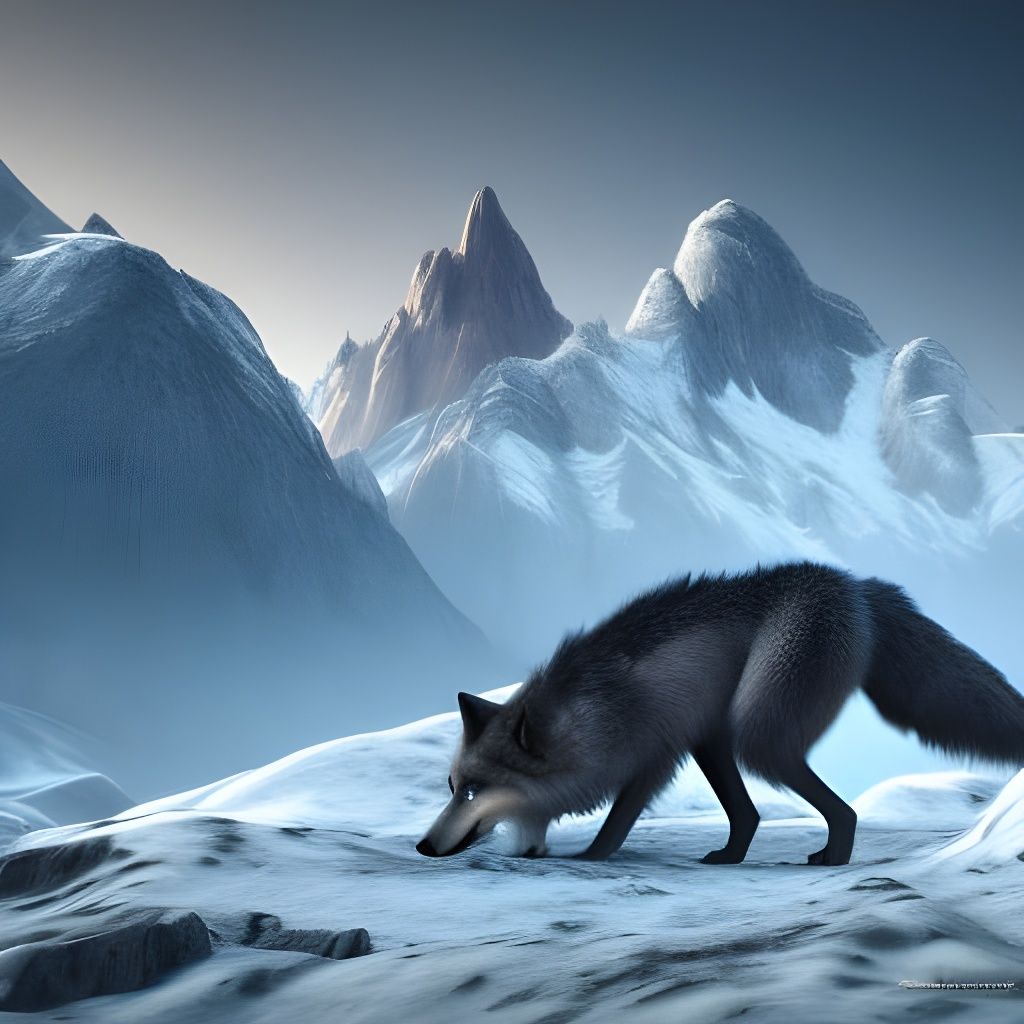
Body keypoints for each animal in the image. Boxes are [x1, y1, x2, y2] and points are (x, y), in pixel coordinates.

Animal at [416, 562, 1024, 866]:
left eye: (473, 792)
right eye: (451, 788)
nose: (422, 846)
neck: (591, 711)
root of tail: (854, 583)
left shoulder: (654, 758)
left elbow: (615, 823)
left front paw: (588, 857)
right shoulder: (686, 740)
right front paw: (533, 847)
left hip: (760, 736)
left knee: (843, 810)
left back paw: (833, 857)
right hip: (721, 737)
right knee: (749, 815)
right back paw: (731, 856)